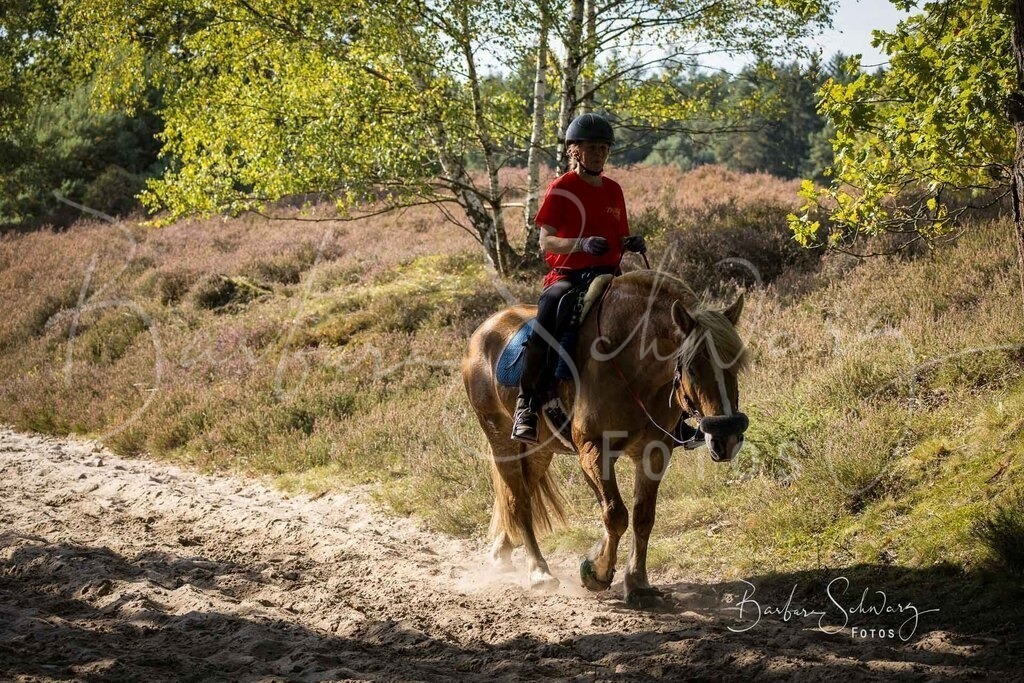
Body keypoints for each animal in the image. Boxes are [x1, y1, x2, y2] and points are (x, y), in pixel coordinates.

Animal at [461, 269, 750, 608]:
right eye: (692, 366)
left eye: (736, 363)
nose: (726, 437)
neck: (630, 363)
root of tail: (483, 330)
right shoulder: (593, 450)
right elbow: (615, 514)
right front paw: (596, 572)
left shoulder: (654, 452)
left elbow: (642, 517)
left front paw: (637, 583)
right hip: (502, 441)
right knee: (518, 501)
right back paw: (539, 573)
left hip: (539, 451)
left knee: (520, 493)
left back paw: (502, 551)